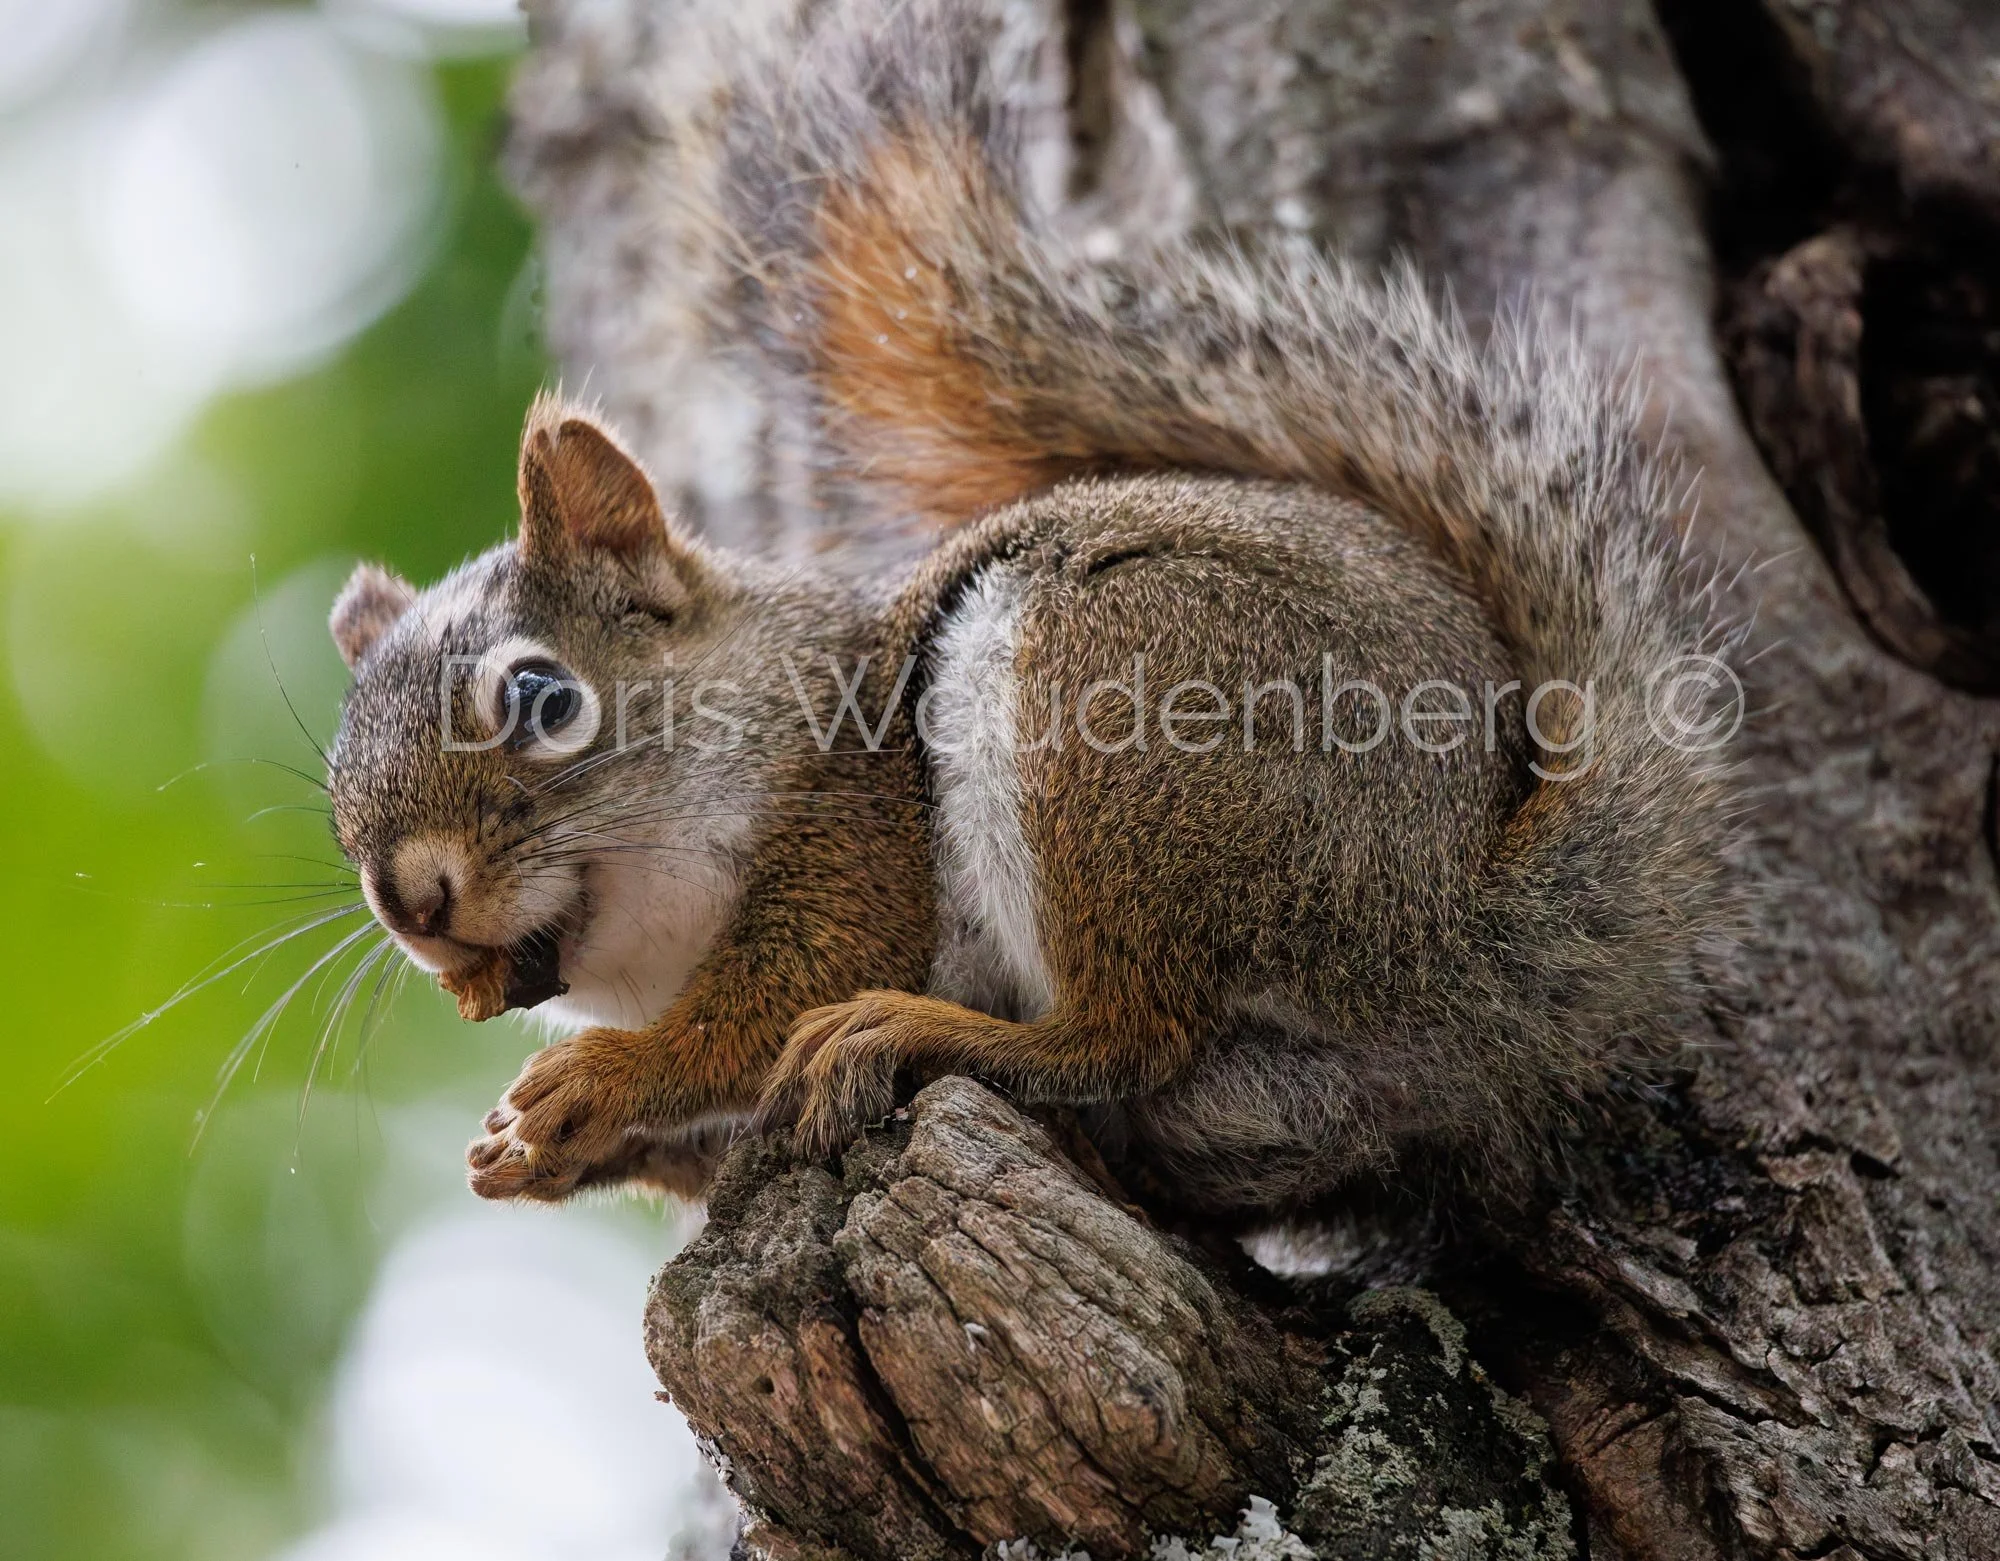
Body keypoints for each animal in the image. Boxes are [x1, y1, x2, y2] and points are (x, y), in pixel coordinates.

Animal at [325, 0, 1727, 1213]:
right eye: (336, 790)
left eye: (540, 695)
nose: (412, 903)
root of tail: (1448, 926)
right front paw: (528, 1150)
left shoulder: (852, 818)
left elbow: (787, 985)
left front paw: (608, 1077)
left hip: (1112, 707)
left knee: (1125, 1030)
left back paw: (916, 1029)